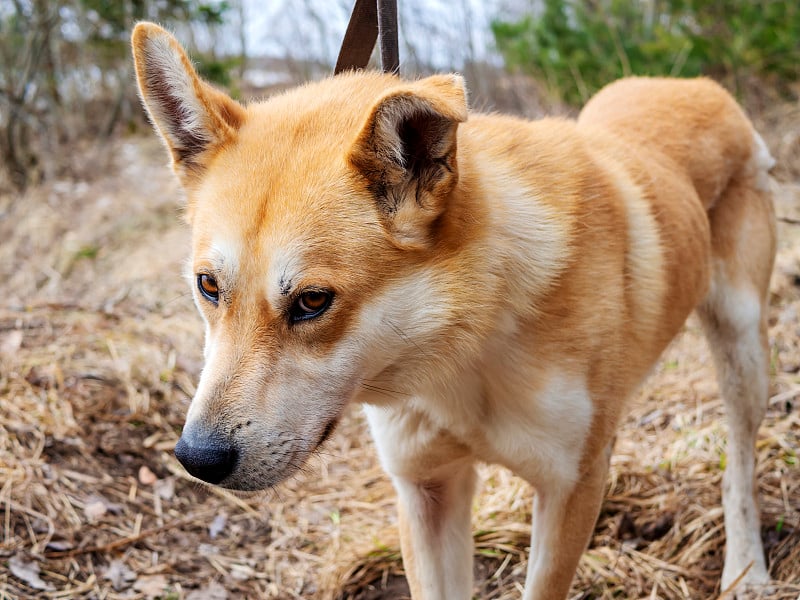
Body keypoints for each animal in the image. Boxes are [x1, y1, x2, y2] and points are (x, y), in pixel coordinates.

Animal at [131, 21, 776, 596]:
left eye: (312, 301)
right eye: (208, 287)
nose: (196, 458)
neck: (466, 351)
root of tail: (691, 83)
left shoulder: (572, 489)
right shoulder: (427, 491)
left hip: (744, 354)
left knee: (740, 471)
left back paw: (746, 570)